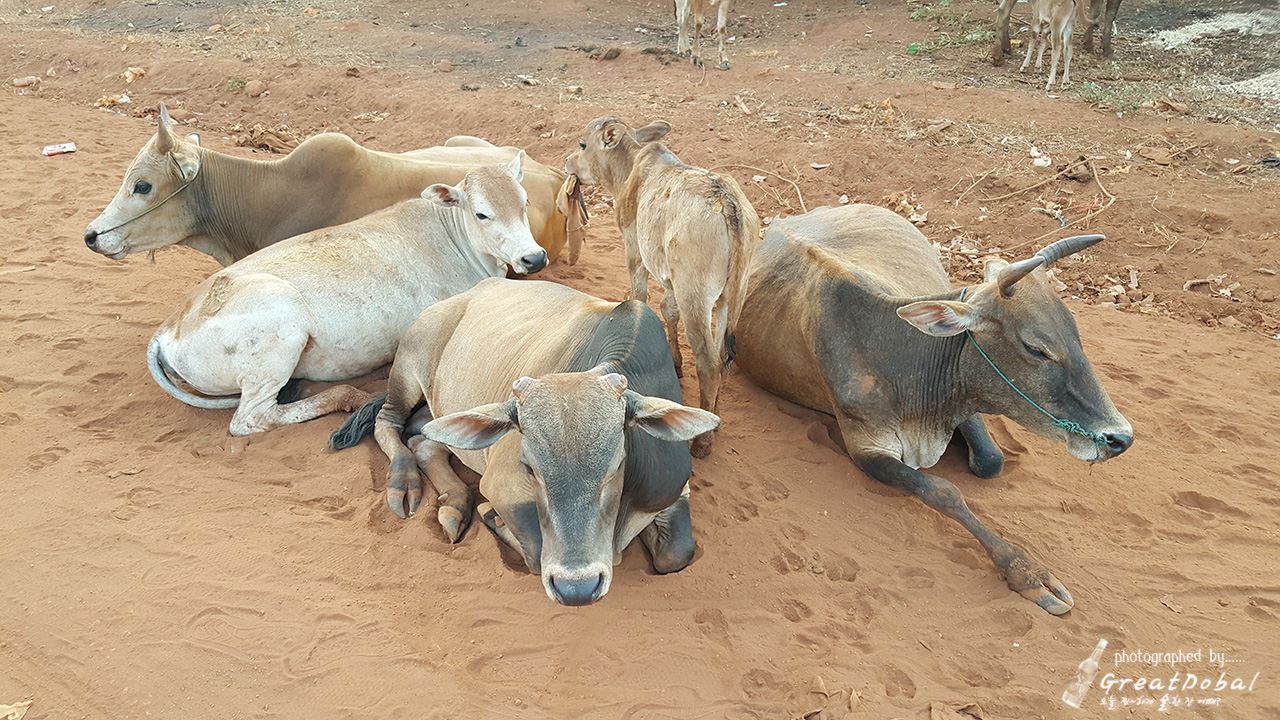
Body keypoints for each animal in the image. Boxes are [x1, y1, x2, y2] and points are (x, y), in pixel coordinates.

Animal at [148, 154, 544, 436]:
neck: (454, 237)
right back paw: (348, 398)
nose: (534, 257)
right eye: (482, 214)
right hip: (280, 333)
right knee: (250, 419)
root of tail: (167, 329)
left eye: (524, 202)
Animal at [329, 278, 721, 606]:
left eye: (617, 465)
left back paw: (454, 505)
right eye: (530, 468)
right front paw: (491, 516)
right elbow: (534, 555)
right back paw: (405, 483)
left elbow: (677, 553)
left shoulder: (672, 489)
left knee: (424, 440)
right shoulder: (501, 486)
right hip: (408, 366)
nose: (577, 588)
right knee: (389, 424)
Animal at [565, 116, 759, 458]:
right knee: (723, 356)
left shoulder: (634, 249)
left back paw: (702, 441)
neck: (630, 169)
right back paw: (716, 419)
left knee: (709, 364)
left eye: (583, 144)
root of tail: (730, 206)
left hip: (695, 295)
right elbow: (668, 310)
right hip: (730, 296)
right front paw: (675, 363)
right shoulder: (671, 279)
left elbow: (641, 296)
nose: (567, 162)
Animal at [735, 204, 1133, 615]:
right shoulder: (866, 449)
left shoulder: (963, 404)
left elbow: (989, 460)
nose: (1120, 437)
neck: (897, 351)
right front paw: (1026, 572)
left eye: (1076, 334)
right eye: (1035, 348)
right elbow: (943, 491)